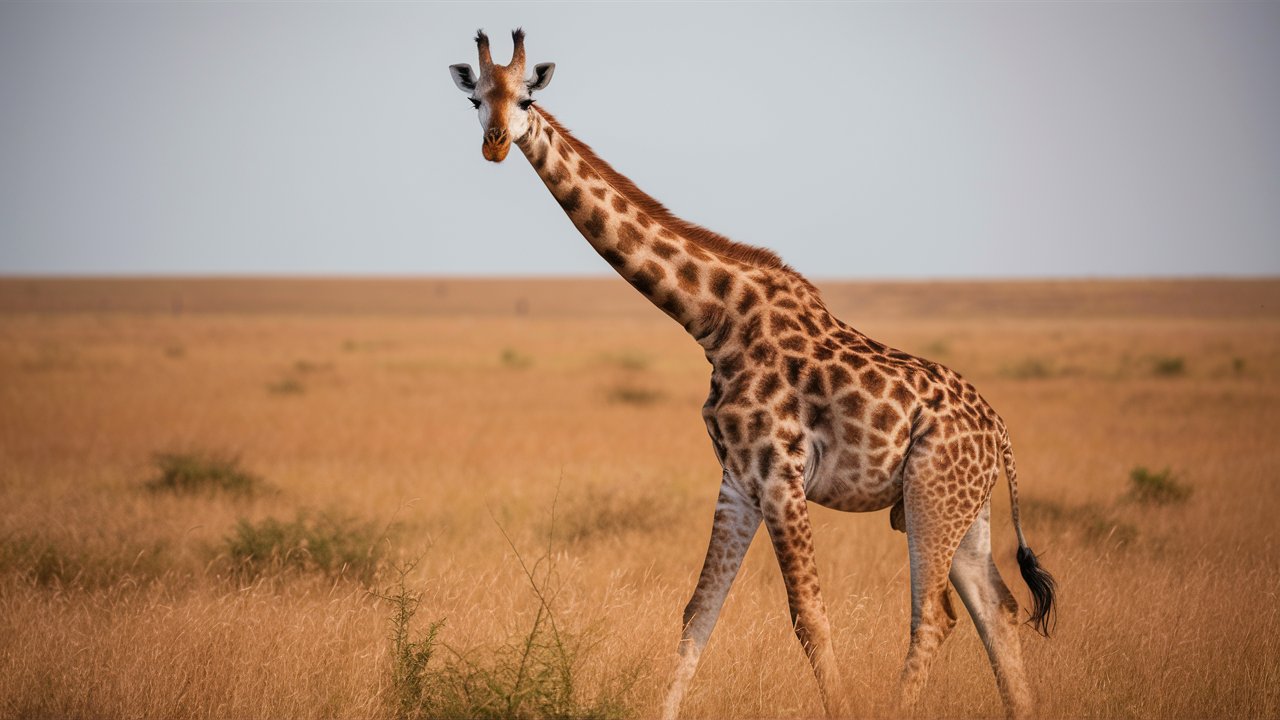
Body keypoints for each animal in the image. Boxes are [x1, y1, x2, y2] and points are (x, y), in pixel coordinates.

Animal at [453, 29, 1059, 717]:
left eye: (526, 97)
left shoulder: (781, 475)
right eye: (475, 97)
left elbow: (810, 618)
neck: (714, 321)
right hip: (962, 509)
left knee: (935, 616)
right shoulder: (737, 481)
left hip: (933, 496)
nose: (496, 143)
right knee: (997, 610)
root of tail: (1000, 433)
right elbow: (698, 614)